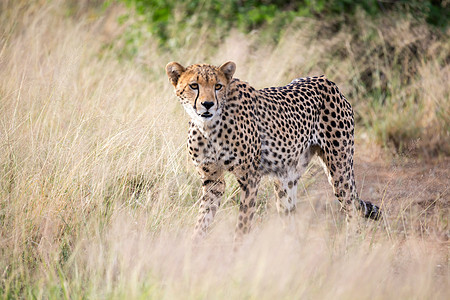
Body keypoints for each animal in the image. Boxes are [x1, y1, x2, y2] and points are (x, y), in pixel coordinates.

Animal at [165, 61, 380, 241]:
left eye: (218, 86)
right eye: (194, 85)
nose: (208, 104)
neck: (209, 126)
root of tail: (325, 80)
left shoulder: (250, 178)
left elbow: (243, 223)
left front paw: (236, 256)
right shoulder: (213, 181)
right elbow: (202, 220)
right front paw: (193, 251)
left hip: (339, 170)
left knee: (351, 208)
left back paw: (351, 243)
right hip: (286, 178)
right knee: (289, 215)